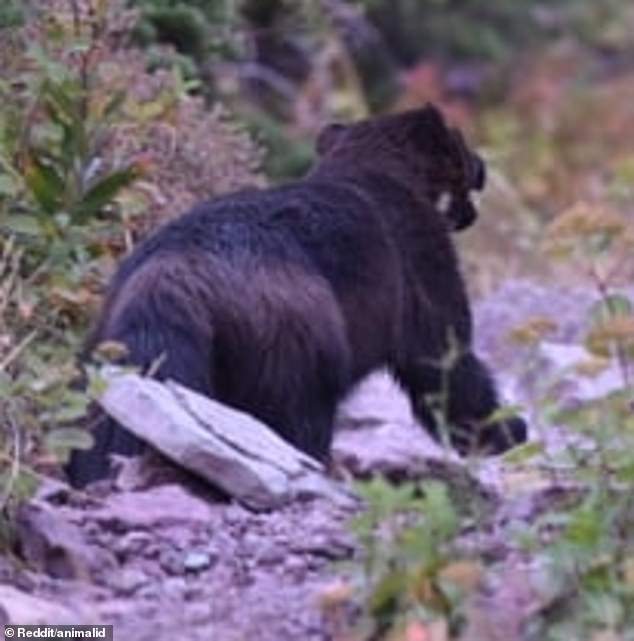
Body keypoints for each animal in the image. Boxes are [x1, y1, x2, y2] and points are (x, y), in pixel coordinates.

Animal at [66, 105, 524, 484]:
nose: (483, 166)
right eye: (460, 142)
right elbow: (445, 360)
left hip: (114, 343)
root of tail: (168, 278)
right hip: (292, 338)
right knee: (296, 414)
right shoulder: (420, 263)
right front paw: (508, 432)